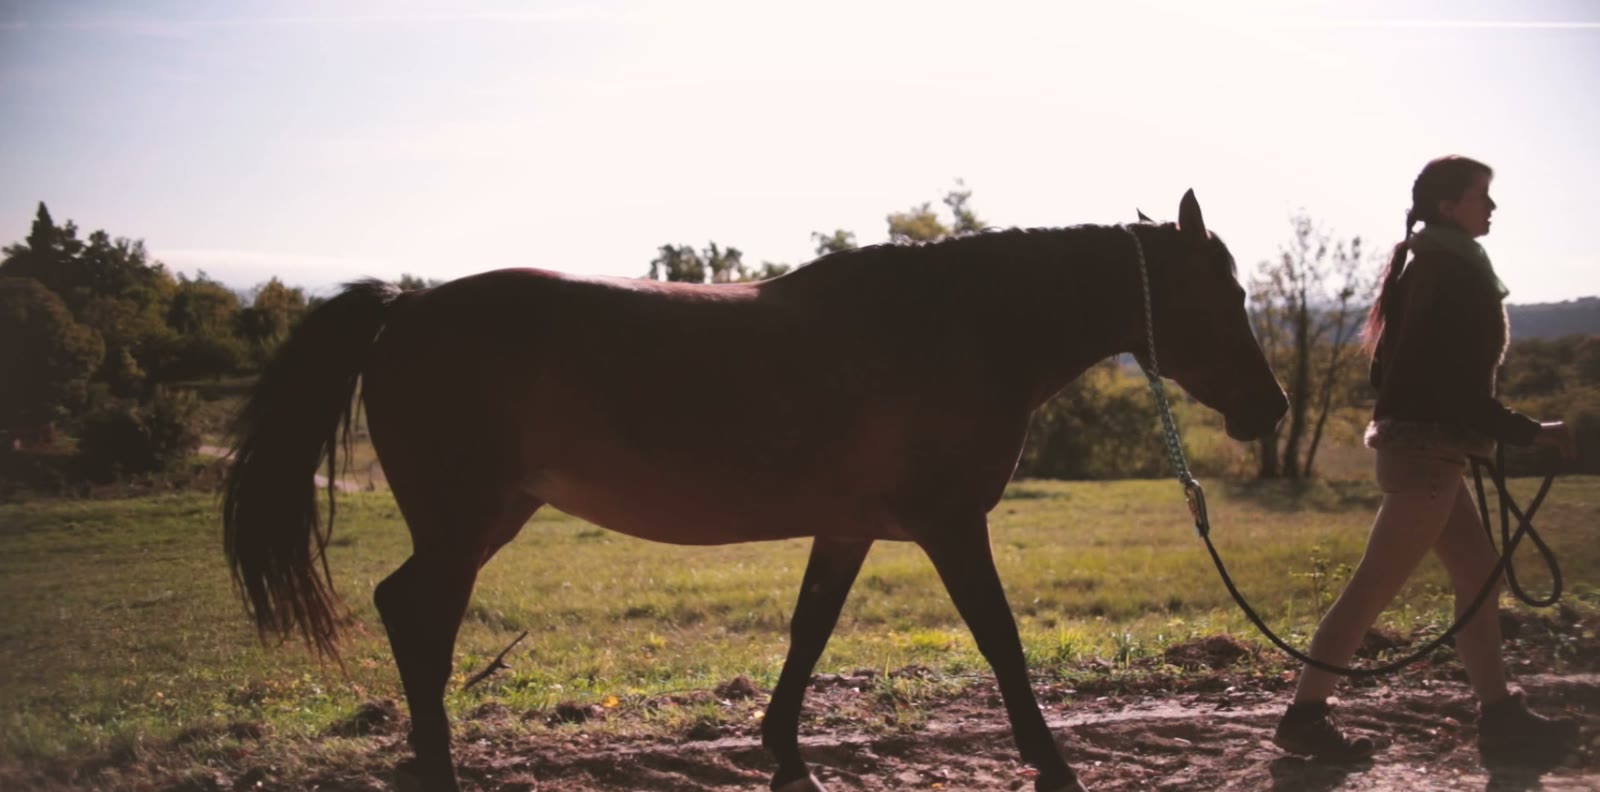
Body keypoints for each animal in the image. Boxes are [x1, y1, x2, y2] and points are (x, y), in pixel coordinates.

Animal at [223, 190, 1287, 792]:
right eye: (1229, 294)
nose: (1271, 408)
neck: (959, 324)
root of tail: (407, 308)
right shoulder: (951, 526)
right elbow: (1002, 642)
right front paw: (1053, 760)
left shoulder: (850, 530)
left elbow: (809, 631)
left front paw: (781, 746)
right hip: (465, 523)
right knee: (417, 619)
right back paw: (438, 762)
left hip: (483, 518)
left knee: (409, 614)